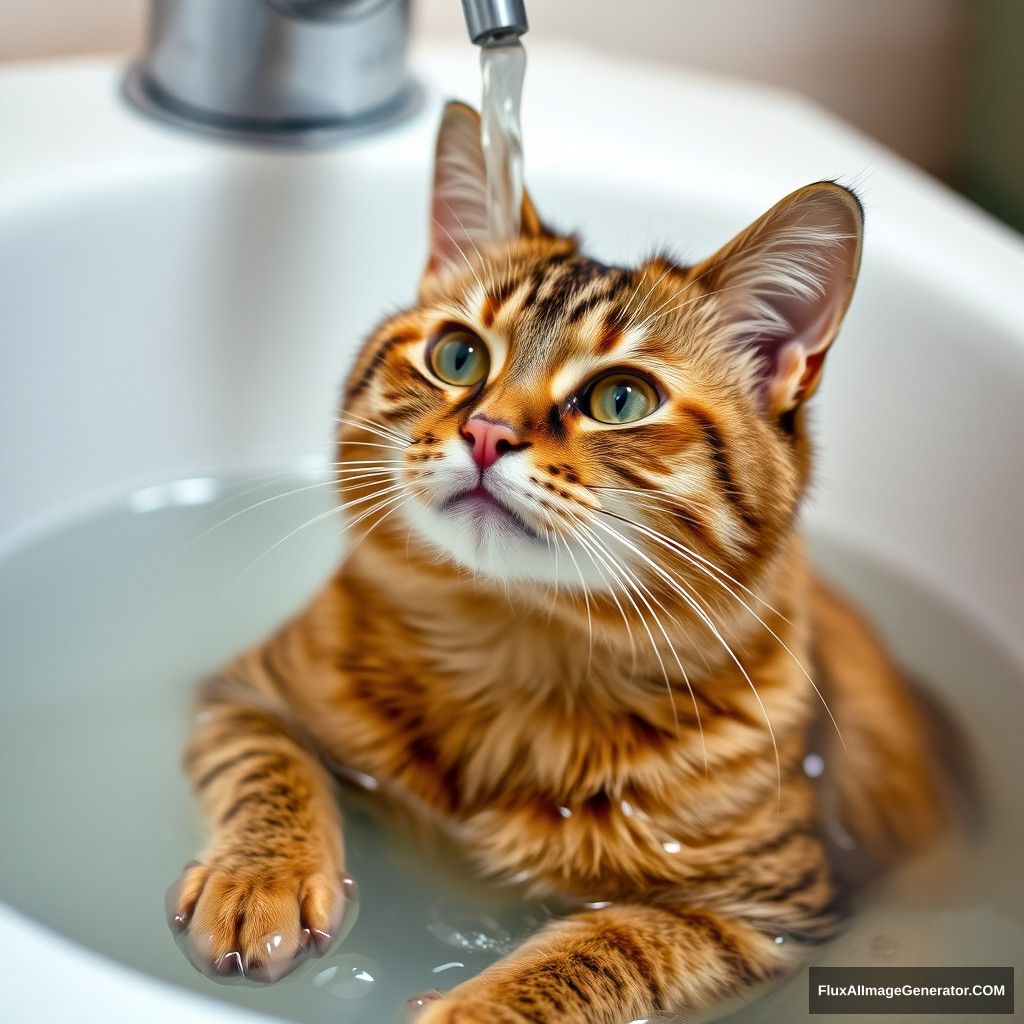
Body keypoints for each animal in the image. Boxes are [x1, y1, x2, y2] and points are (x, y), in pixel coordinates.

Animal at [172, 103, 946, 1024]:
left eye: (621, 399)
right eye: (459, 356)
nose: (485, 433)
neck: (515, 648)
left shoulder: (764, 916)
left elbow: (600, 949)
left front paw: (467, 1009)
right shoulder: (247, 696)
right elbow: (272, 774)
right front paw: (260, 879)